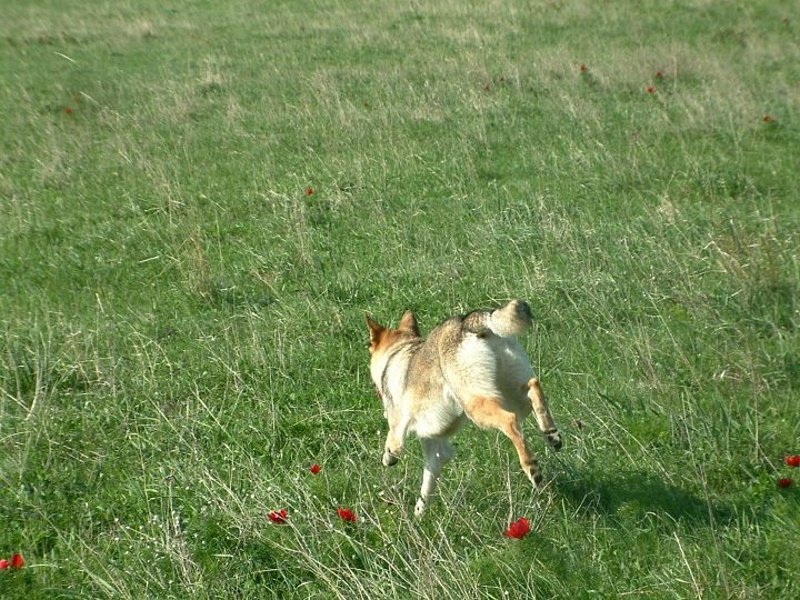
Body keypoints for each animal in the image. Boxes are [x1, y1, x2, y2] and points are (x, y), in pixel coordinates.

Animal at [366, 299, 562, 516]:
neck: (397, 352)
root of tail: (469, 320)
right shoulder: (437, 451)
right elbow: (426, 486)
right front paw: (419, 515)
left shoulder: (398, 433)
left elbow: (391, 449)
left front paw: (388, 460)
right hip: (515, 398)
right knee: (534, 387)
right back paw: (551, 434)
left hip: (476, 407)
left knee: (509, 421)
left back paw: (531, 468)